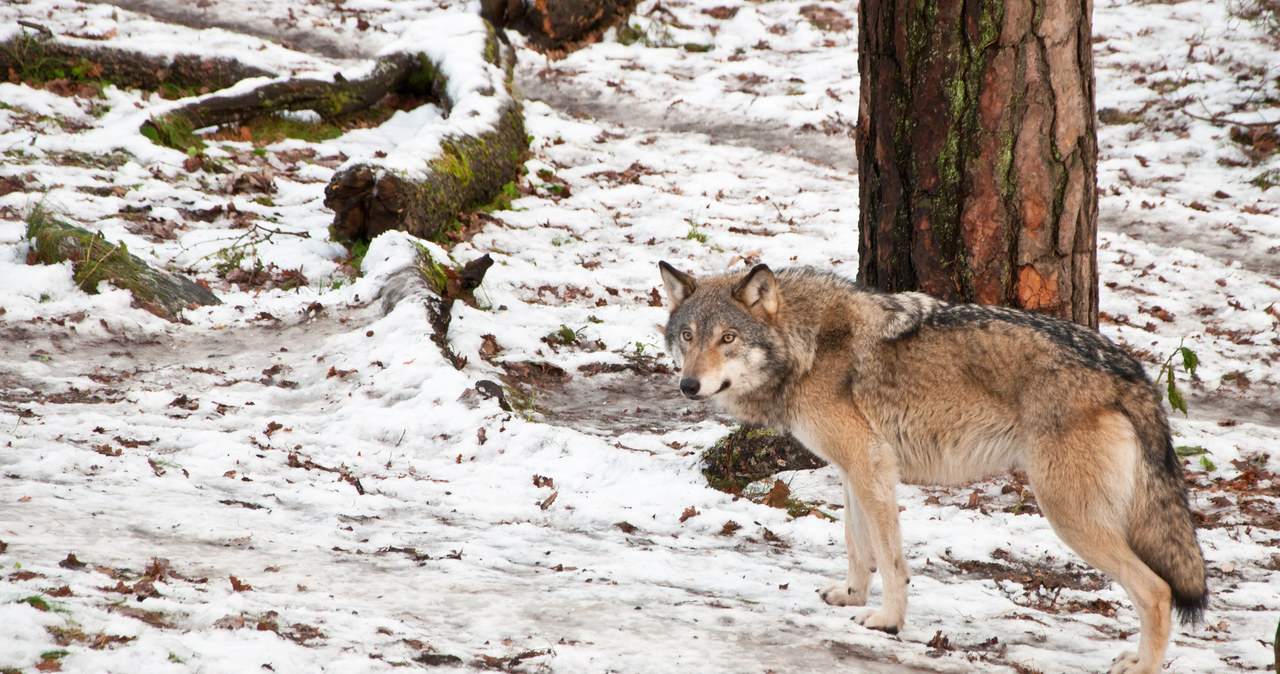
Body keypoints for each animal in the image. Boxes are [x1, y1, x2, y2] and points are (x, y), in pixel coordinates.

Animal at [660, 262, 1208, 674]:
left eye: (728, 338)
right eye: (687, 336)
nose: (688, 385)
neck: (807, 346)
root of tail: (1130, 368)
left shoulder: (871, 465)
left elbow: (890, 559)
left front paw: (887, 622)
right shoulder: (854, 469)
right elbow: (858, 545)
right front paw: (852, 596)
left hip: (1069, 515)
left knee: (1157, 591)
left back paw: (1141, 666)